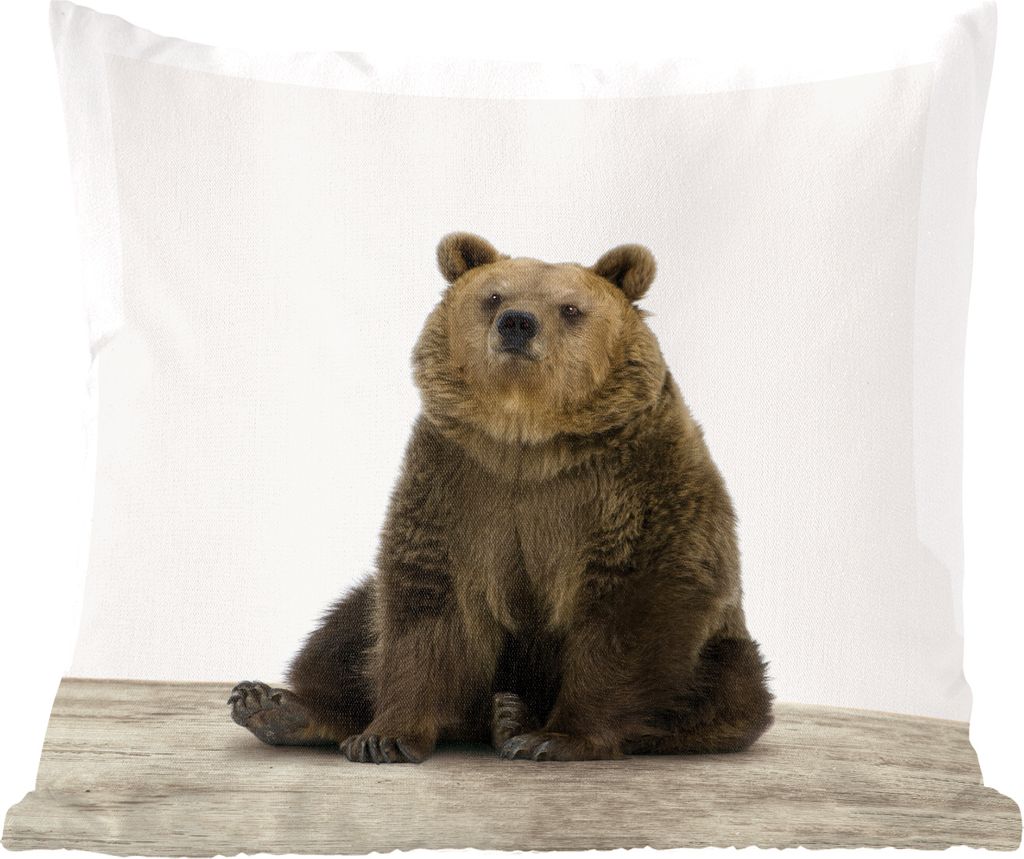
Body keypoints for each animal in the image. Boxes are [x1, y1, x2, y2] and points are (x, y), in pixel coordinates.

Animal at [228, 233, 773, 763]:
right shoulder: (458, 482)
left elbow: (635, 608)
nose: (517, 323)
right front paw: (384, 737)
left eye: (570, 308)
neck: (526, 437)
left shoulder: (635, 482)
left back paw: (515, 718)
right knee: (345, 627)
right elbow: (425, 603)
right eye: (493, 297)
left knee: (730, 685)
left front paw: (557, 738)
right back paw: (276, 706)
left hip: (721, 651)